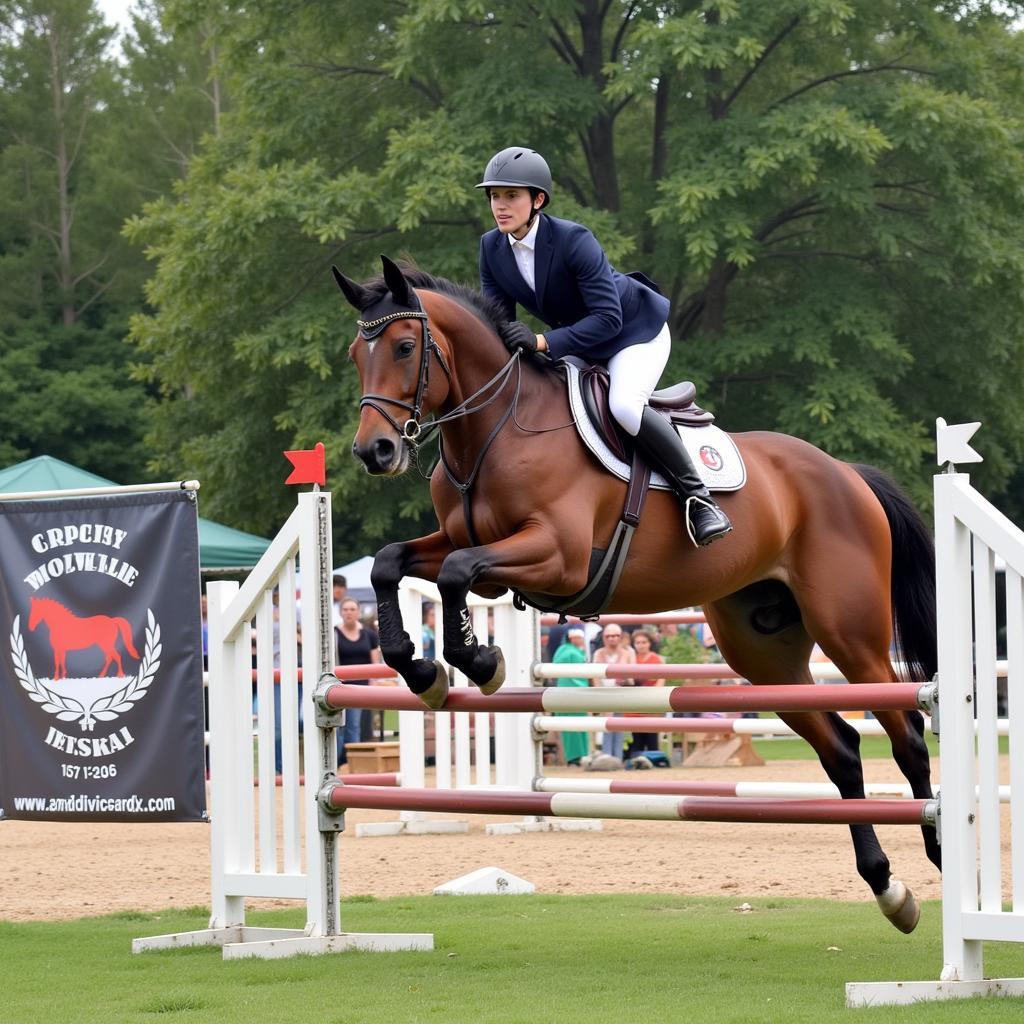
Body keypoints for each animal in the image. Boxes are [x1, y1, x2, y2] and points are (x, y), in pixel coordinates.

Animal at [331, 253, 937, 929]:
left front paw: (478, 663)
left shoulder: (558, 558)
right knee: (843, 749)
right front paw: (423, 671)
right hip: (764, 655)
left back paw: (939, 850)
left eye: (406, 347)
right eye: (356, 354)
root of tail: (846, 473)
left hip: (850, 634)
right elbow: (392, 564)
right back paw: (887, 887)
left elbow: (459, 573)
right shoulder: (459, 541)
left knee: (908, 733)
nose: (375, 450)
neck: (495, 430)